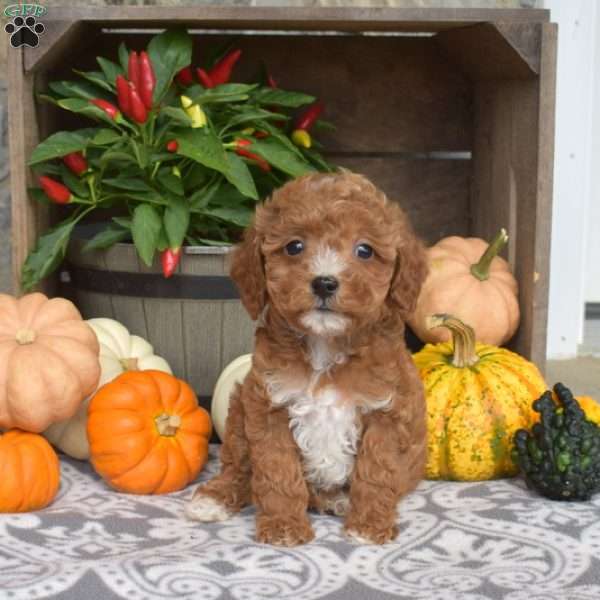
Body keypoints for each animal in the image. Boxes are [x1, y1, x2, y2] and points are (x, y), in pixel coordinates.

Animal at [186, 171, 426, 548]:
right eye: (294, 246)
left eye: (365, 250)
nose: (325, 283)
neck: (325, 344)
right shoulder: (268, 407)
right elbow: (277, 473)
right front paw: (284, 526)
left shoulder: (388, 412)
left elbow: (376, 473)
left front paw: (369, 525)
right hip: (240, 408)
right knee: (238, 467)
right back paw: (214, 499)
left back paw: (336, 500)